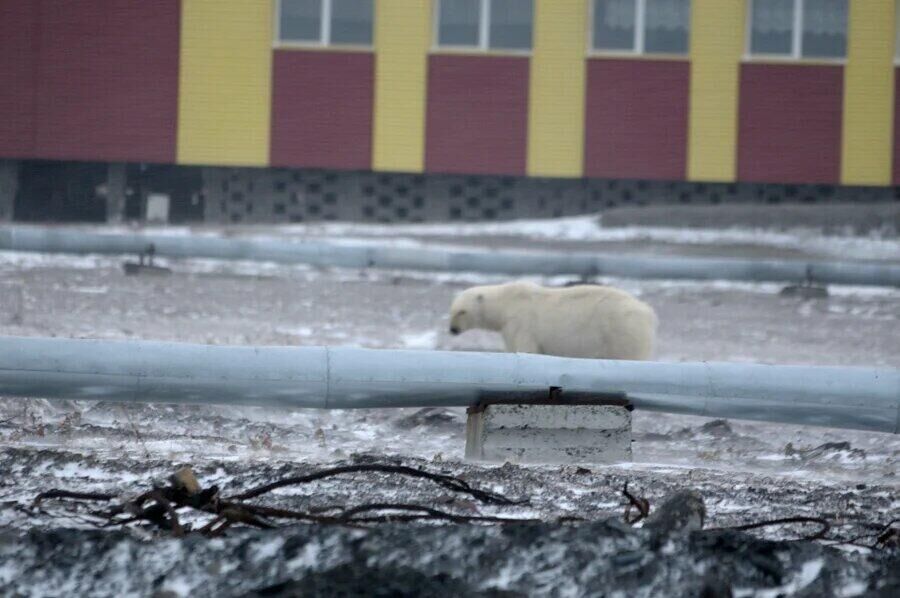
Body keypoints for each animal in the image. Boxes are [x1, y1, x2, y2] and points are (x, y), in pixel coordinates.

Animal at [448, 282, 652, 360]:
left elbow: (526, 349)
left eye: (462, 311)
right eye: (452, 310)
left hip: (620, 331)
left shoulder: (521, 323)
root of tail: (647, 311)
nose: (452, 329)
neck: (507, 303)